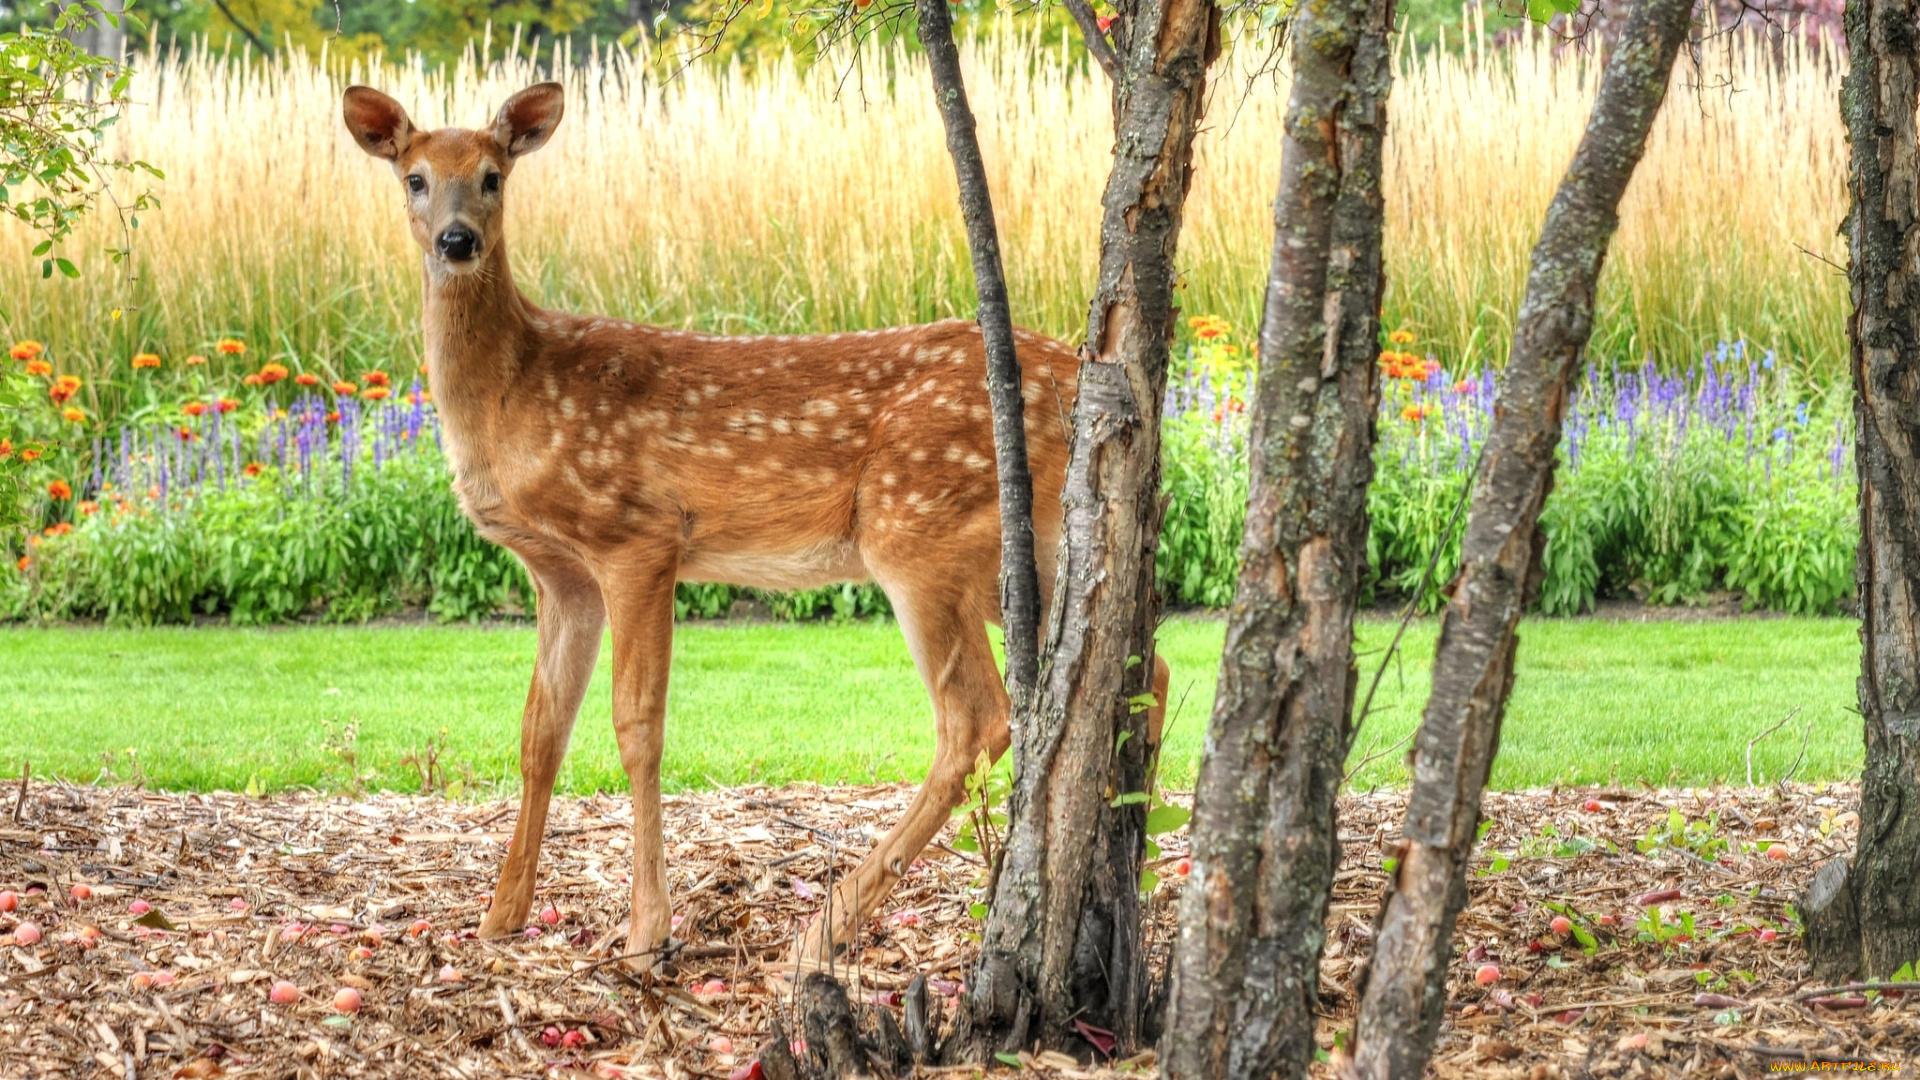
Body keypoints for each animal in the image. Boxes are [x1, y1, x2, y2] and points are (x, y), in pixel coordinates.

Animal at [341, 79, 1167, 960]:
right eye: (415, 177)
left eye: (493, 176)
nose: (457, 240)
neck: (515, 397)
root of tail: (1079, 387)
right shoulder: (562, 574)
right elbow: (540, 733)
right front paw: (501, 918)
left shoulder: (637, 535)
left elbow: (637, 727)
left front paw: (647, 929)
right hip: (1023, 544)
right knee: (1141, 669)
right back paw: (1135, 878)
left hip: (919, 530)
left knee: (977, 719)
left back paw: (824, 930)